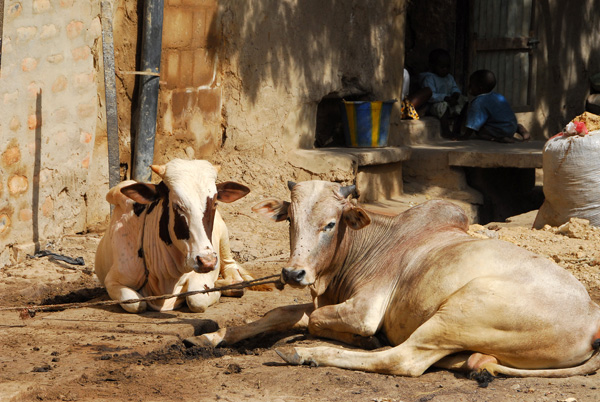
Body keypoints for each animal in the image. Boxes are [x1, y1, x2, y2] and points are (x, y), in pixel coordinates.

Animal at [94, 159, 255, 312]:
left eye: (215, 202)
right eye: (177, 205)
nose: (207, 261)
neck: (166, 278)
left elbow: (196, 299)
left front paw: (218, 290)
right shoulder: (113, 281)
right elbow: (137, 304)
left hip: (223, 238)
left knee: (230, 266)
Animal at [186, 181, 600, 382]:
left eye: (331, 224)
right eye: (290, 219)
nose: (293, 273)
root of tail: (593, 319)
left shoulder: (364, 310)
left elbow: (312, 319)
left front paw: (358, 339)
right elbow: (280, 313)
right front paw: (209, 337)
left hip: (460, 310)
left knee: (403, 360)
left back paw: (305, 354)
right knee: (467, 360)